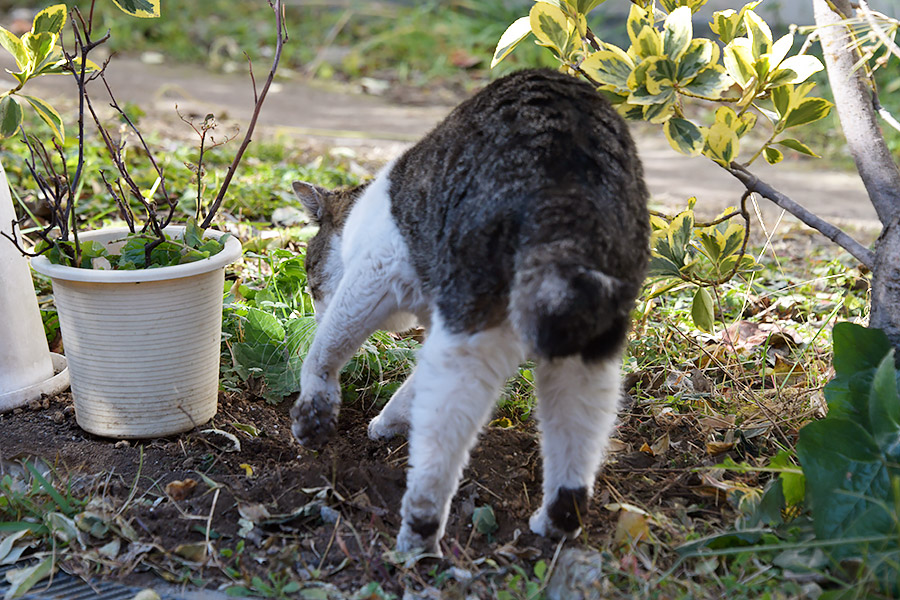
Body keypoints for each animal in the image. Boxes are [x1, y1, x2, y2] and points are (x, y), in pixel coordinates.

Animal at [292, 69, 652, 552]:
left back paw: (418, 534)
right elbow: (413, 385)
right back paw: (555, 522)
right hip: (588, 341)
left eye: (312, 286)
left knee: (446, 427)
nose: (313, 311)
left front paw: (315, 415)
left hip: (476, 326)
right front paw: (386, 422)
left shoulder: (376, 272)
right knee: (580, 432)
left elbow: (326, 351)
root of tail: (568, 178)